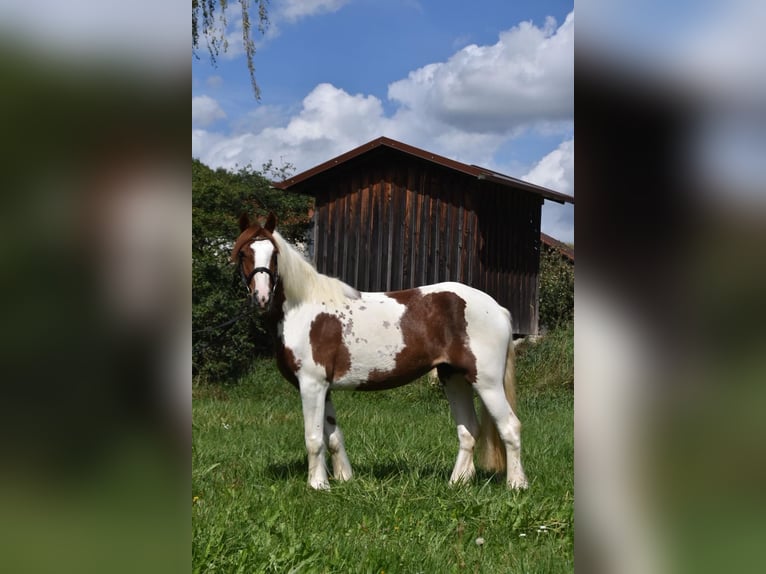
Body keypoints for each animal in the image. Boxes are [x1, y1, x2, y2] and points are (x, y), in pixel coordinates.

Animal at [231, 213, 528, 491]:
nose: (261, 297)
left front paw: (317, 485)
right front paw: (344, 479)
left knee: (510, 427)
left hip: (486, 382)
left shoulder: (311, 384)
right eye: (244, 253)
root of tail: (497, 308)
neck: (304, 309)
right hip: (454, 378)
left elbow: (314, 438)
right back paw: (457, 483)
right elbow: (333, 436)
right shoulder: (324, 387)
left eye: (274, 254)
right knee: (469, 430)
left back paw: (517, 485)